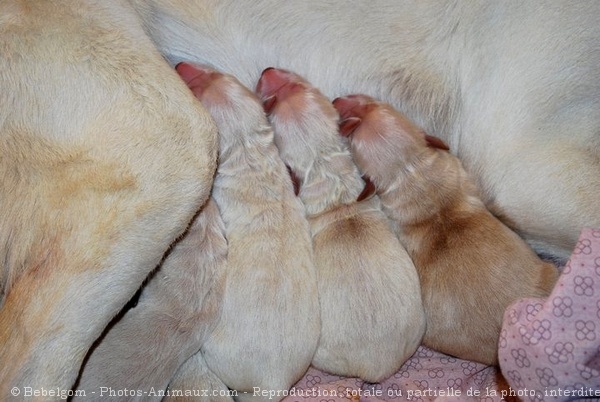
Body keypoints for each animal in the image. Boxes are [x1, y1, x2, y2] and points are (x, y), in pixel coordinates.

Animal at [258, 67, 426, 382]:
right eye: (304, 85)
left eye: (269, 111)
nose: (268, 71)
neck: (324, 164)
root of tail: (376, 368)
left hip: (321, 352)